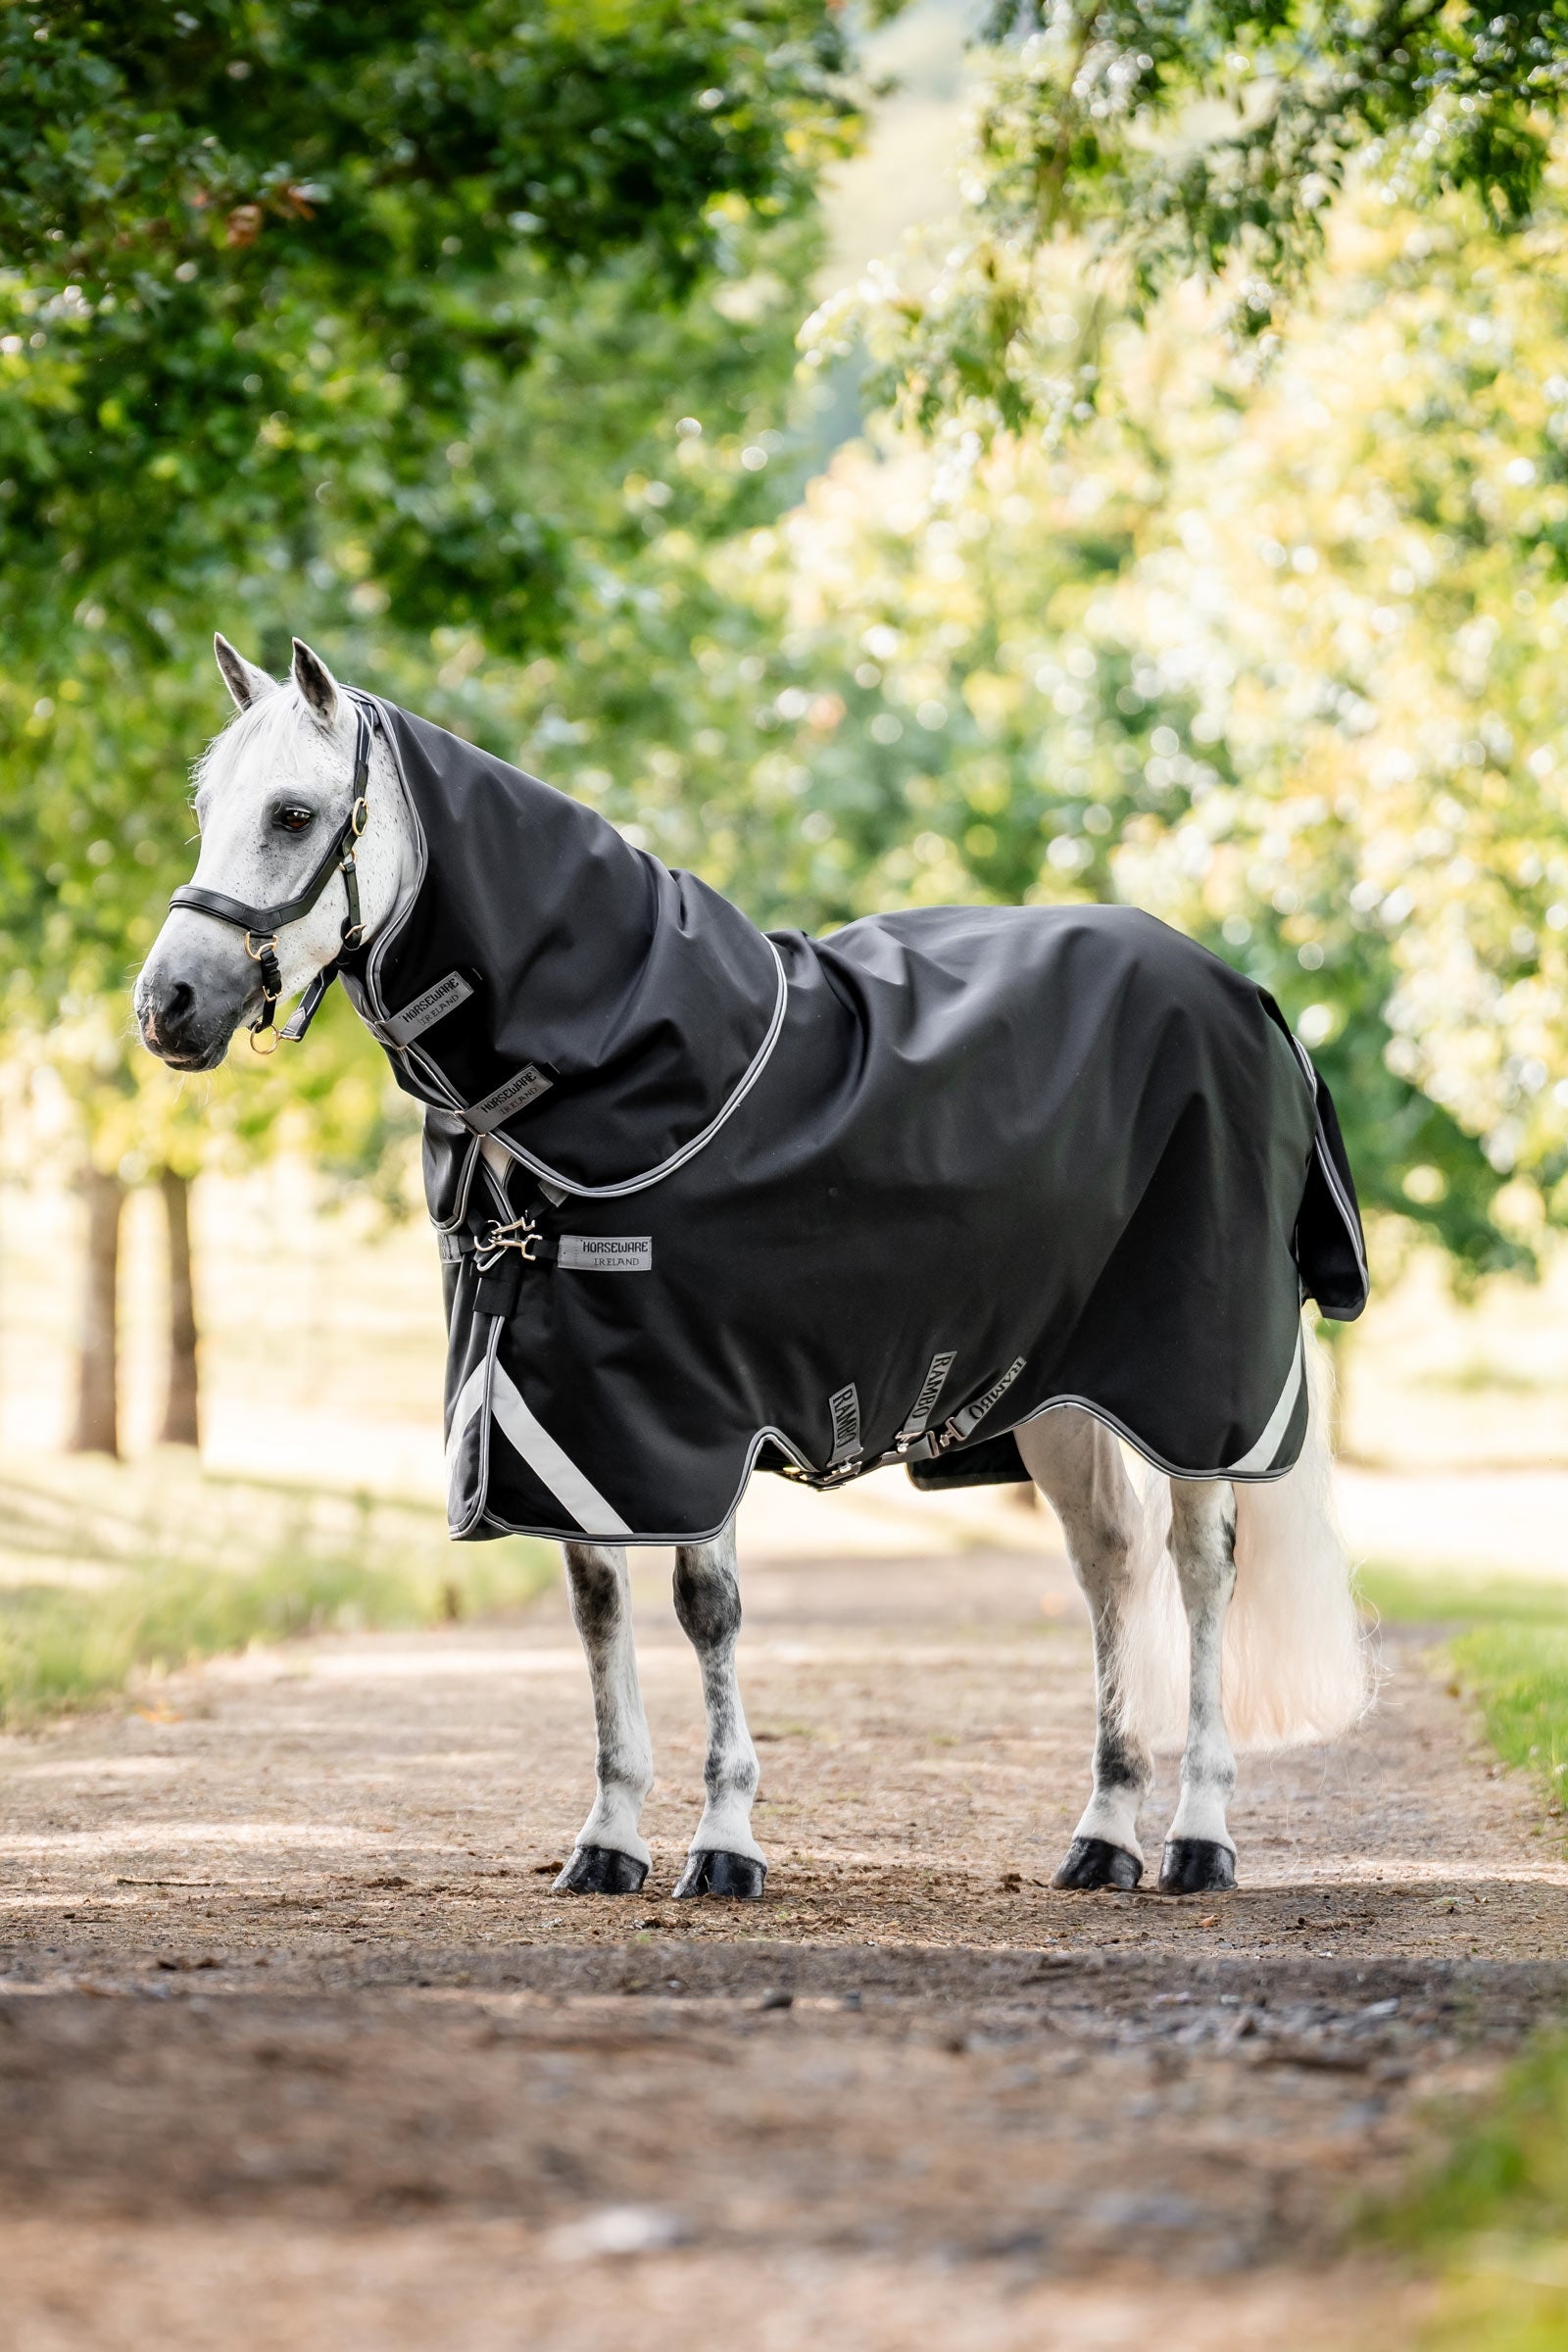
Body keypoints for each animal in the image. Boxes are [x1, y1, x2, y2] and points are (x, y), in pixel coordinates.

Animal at [134, 634, 1370, 1903]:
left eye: (293, 814)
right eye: (204, 808)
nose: (166, 1004)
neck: (619, 1069)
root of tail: (1250, 997)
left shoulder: (692, 1409)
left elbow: (705, 1608)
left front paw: (724, 1843)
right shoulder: (572, 1414)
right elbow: (596, 1606)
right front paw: (608, 1840)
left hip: (1195, 1388)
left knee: (1199, 1567)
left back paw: (1197, 1837)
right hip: (1059, 1390)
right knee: (1110, 1567)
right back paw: (1104, 1834)